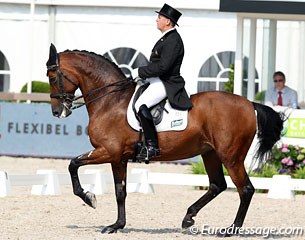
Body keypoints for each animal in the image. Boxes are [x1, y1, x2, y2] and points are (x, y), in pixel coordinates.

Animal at [45, 43, 282, 234]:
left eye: (52, 77)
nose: (57, 112)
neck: (111, 101)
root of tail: (249, 104)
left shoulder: (108, 152)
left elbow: (73, 164)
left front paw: (89, 198)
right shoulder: (118, 158)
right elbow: (120, 191)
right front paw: (116, 225)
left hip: (231, 156)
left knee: (245, 189)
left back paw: (230, 230)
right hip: (210, 153)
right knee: (217, 185)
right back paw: (188, 218)